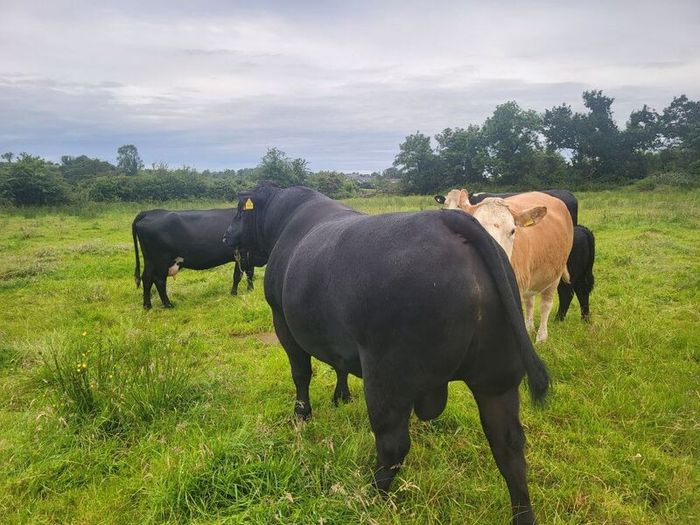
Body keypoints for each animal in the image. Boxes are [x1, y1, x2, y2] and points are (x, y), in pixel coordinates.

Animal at [132, 208, 267, 308]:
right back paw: (168, 304)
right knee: (158, 280)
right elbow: (239, 275)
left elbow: (248, 273)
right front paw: (235, 293)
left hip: (150, 260)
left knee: (147, 278)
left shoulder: (248, 254)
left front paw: (249, 290)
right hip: (161, 259)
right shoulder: (242, 253)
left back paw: (147, 305)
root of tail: (149, 212)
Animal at [224, 184, 549, 525]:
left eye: (238, 210)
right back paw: (523, 514)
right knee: (509, 445)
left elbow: (301, 373)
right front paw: (341, 396)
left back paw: (370, 499)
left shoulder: (283, 321)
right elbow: (339, 366)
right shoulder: (338, 340)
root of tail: (447, 221)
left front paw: (302, 415)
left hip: (388, 375)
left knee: (393, 444)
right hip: (497, 378)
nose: (225, 236)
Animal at [435, 189, 574, 342]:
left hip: (556, 272)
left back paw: (541, 337)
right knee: (530, 302)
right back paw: (529, 328)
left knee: (546, 304)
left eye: (513, 231)